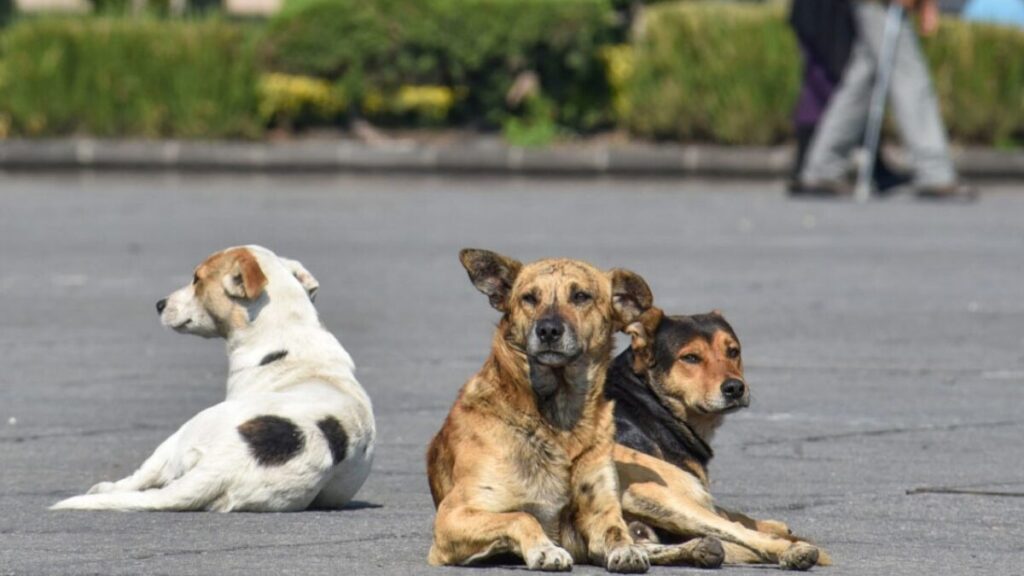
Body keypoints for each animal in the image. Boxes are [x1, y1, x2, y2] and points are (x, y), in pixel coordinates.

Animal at [49, 243, 374, 508]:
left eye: (197, 278)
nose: (159, 304)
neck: (289, 330)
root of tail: (226, 464)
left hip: (182, 433)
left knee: (142, 476)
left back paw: (105, 488)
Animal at [425, 249, 655, 569]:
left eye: (581, 296)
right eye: (529, 298)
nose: (548, 330)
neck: (559, 420)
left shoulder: (599, 509)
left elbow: (615, 529)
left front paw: (627, 548)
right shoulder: (453, 516)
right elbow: (521, 516)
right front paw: (545, 549)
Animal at [606, 307, 831, 565]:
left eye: (733, 351)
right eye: (690, 358)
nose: (735, 388)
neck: (647, 398)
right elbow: (732, 517)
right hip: (656, 495)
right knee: (733, 530)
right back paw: (794, 551)